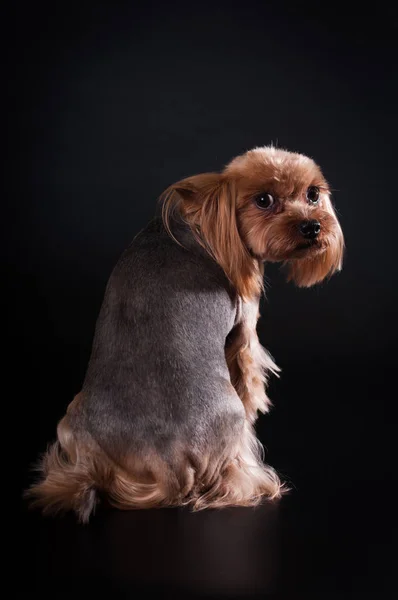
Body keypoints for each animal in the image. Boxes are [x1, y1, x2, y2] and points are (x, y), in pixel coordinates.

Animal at [28, 144, 344, 520]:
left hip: (72, 422)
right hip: (231, 420)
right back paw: (258, 483)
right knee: (231, 472)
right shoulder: (244, 328)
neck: (207, 217)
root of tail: (168, 467)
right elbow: (248, 379)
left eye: (313, 194)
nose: (312, 226)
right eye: (263, 200)